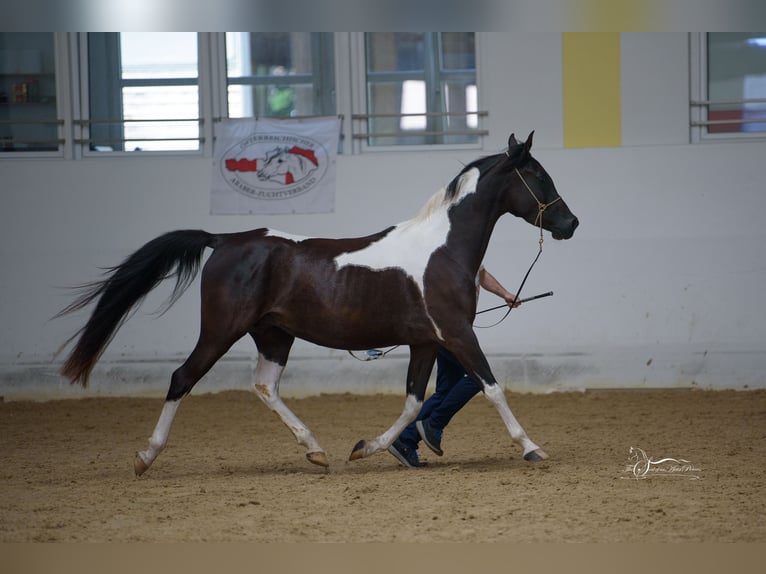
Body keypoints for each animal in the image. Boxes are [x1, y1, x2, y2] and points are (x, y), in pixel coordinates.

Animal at [57, 132, 580, 476]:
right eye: (538, 175)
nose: (570, 223)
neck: (443, 248)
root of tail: (224, 240)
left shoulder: (425, 342)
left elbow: (414, 402)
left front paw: (366, 448)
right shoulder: (457, 334)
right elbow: (491, 387)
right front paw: (532, 448)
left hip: (273, 335)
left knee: (265, 387)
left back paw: (316, 450)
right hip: (220, 331)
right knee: (181, 379)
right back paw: (146, 456)